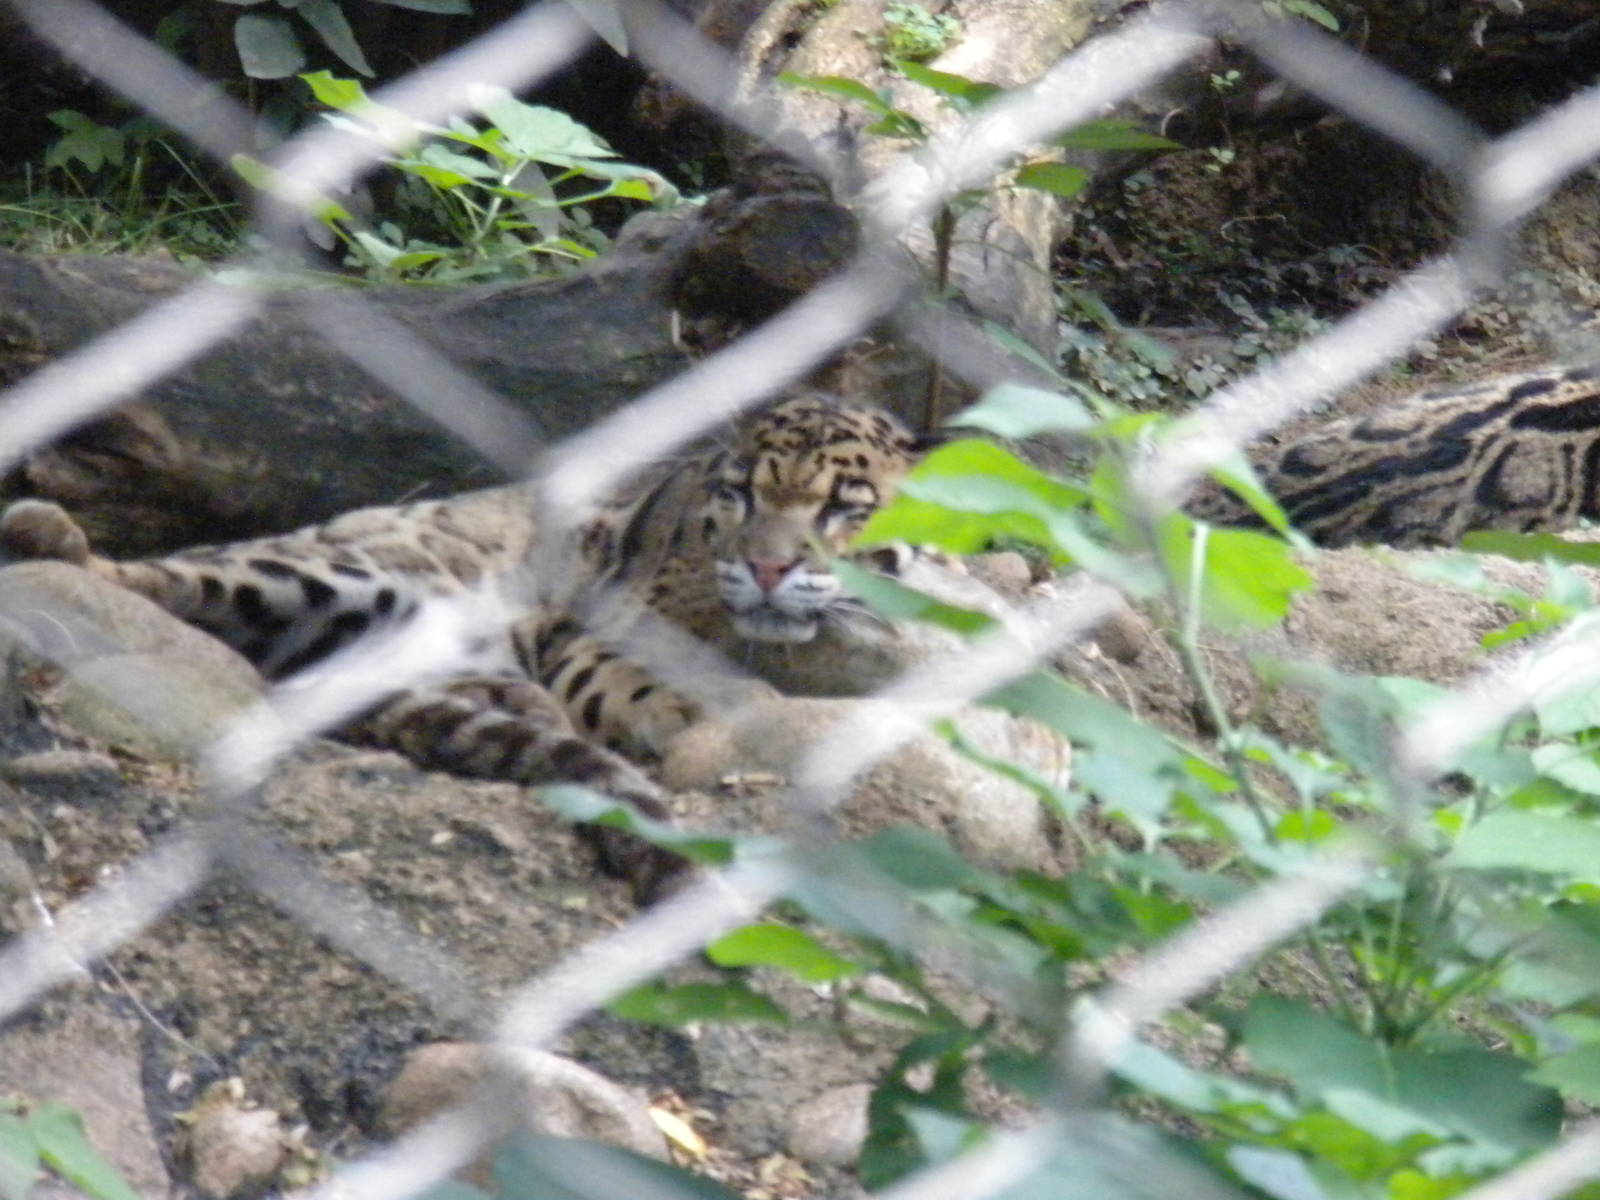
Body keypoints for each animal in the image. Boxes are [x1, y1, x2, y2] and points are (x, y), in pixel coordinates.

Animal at [0, 393, 927, 897]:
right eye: (738, 495)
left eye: (844, 508)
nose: (767, 566)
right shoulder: (594, 631)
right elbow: (673, 689)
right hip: (336, 572)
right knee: (161, 579)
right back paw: (49, 531)